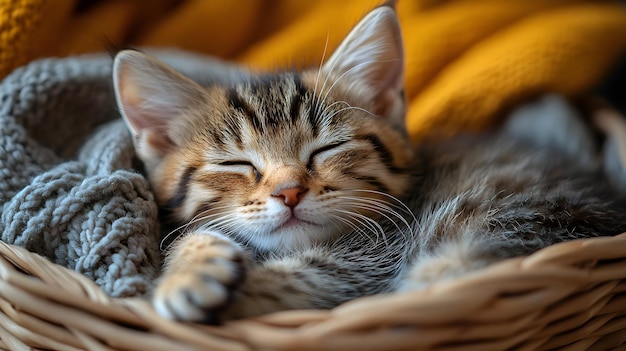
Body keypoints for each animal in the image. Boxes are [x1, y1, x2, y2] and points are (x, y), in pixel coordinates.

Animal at [111, 5, 624, 324]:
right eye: (236, 163)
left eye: (326, 149)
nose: (288, 192)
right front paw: (189, 269)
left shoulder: (370, 262)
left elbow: (302, 280)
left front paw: (190, 286)